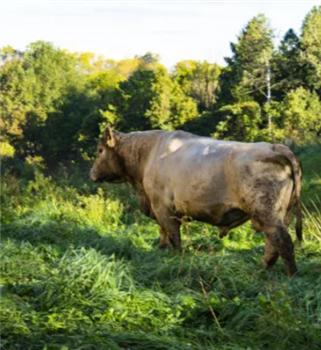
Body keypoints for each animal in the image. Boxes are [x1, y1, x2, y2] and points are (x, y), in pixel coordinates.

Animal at [89, 128, 300, 276]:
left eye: (100, 150)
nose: (91, 174)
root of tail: (274, 147)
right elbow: (163, 231)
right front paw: (161, 248)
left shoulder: (162, 207)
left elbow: (173, 235)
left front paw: (174, 257)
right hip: (280, 215)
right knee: (272, 243)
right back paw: (264, 270)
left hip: (268, 212)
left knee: (283, 241)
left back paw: (290, 276)